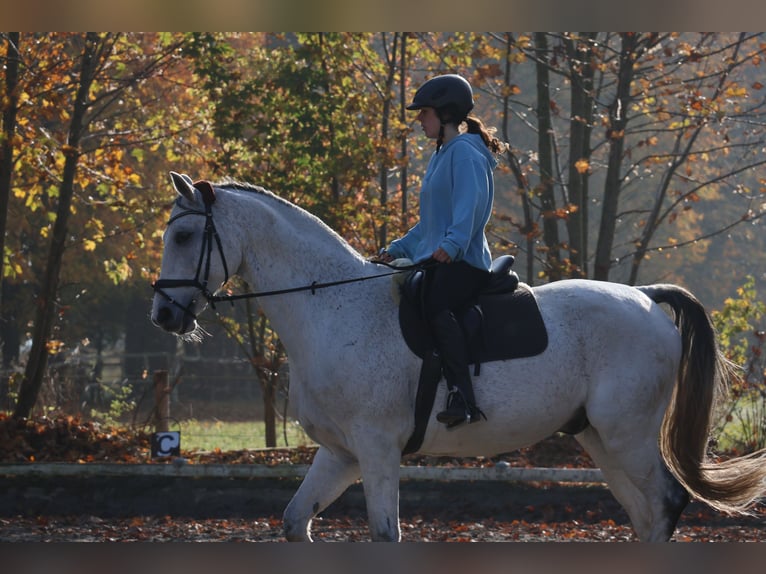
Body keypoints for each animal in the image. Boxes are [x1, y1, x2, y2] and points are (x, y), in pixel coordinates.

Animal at [152, 172, 766, 544]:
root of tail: (645, 296)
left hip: (627, 434)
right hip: (599, 437)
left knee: (663, 504)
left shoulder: (376, 449)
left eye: (183, 236)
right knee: (644, 514)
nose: (163, 316)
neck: (331, 305)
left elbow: (385, 534)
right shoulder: (341, 453)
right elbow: (294, 521)